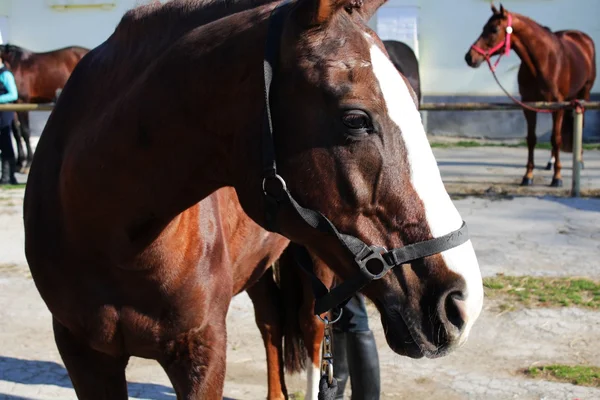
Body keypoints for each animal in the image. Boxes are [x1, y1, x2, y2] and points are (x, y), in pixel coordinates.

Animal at [0, 43, 89, 172]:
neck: (14, 63)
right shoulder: (14, 104)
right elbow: (16, 133)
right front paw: (19, 163)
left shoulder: (23, 101)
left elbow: (25, 132)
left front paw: (27, 163)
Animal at [23, 0, 486, 396]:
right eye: (355, 119)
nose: (461, 301)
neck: (113, 237)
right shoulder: (84, 354)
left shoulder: (202, 352)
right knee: (271, 323)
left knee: (312, 333)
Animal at [464, 3, 596, 188]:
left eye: (494, 29)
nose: (469, 57)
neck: (545, 61)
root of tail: (582, 38)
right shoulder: (529, 106)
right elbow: (532, 139)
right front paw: (528, 175)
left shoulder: (558, 106)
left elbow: (556, 139)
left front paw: (557, 177)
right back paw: (550, 162)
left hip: (584, 95)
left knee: (578, 125)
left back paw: (580, 161)